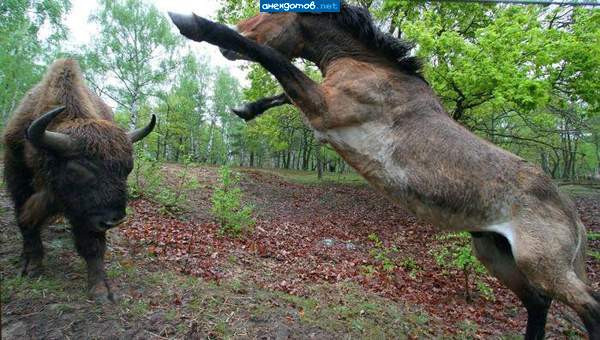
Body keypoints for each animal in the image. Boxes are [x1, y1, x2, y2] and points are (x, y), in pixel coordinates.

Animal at [2, 58, 156, 300]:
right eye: (78, 169)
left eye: (127, 169)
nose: (114, 220)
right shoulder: (19, 187)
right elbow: (27, 224)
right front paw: (33, 267)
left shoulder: (85, 213)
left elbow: (92, 245)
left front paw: (100, 290)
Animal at [170, 3, 600, 338]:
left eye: (267, 10)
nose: (228, 44)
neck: (373, 67)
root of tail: (571, 213)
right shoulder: (322, 105)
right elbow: (283, 85)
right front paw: (247, 108)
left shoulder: (325, 108)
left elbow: (274, 60)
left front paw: (192, 22)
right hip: (496, 255)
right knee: (538, 304)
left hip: (541, 266)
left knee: (589, 308)